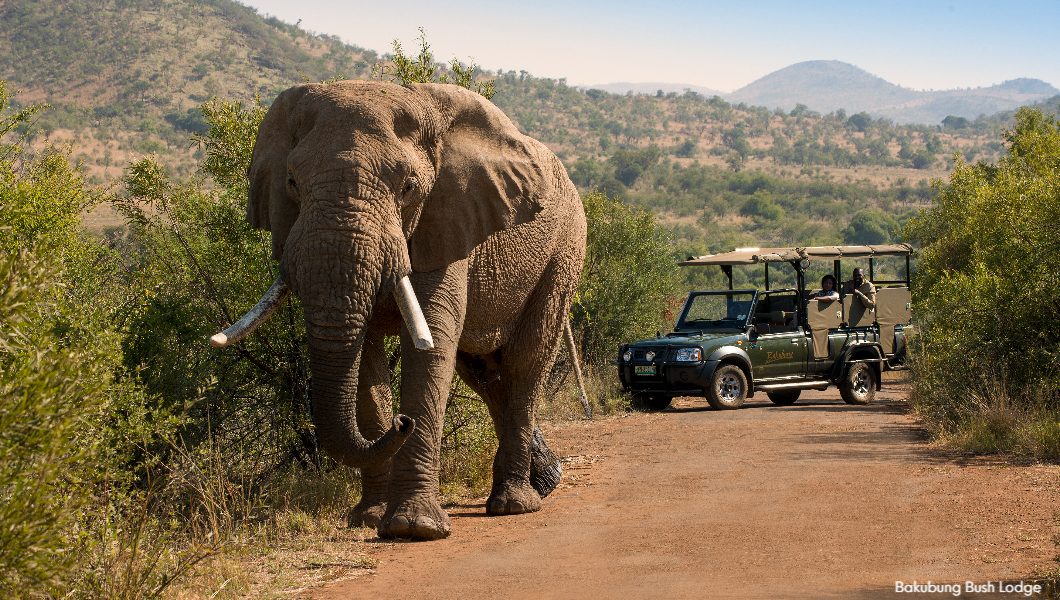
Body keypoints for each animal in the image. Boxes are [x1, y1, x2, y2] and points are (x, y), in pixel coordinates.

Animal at [206, 77, 589, 542]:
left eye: (407, 188)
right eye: (293, 182)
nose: (401, 423)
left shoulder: (445, 220)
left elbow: (431, 343)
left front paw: (414, 527)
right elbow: (365, 361)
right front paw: (370, 518)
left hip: (564, 251)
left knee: (525, 361)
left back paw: (515, 504)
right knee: (483, 372)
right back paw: (544, 481)